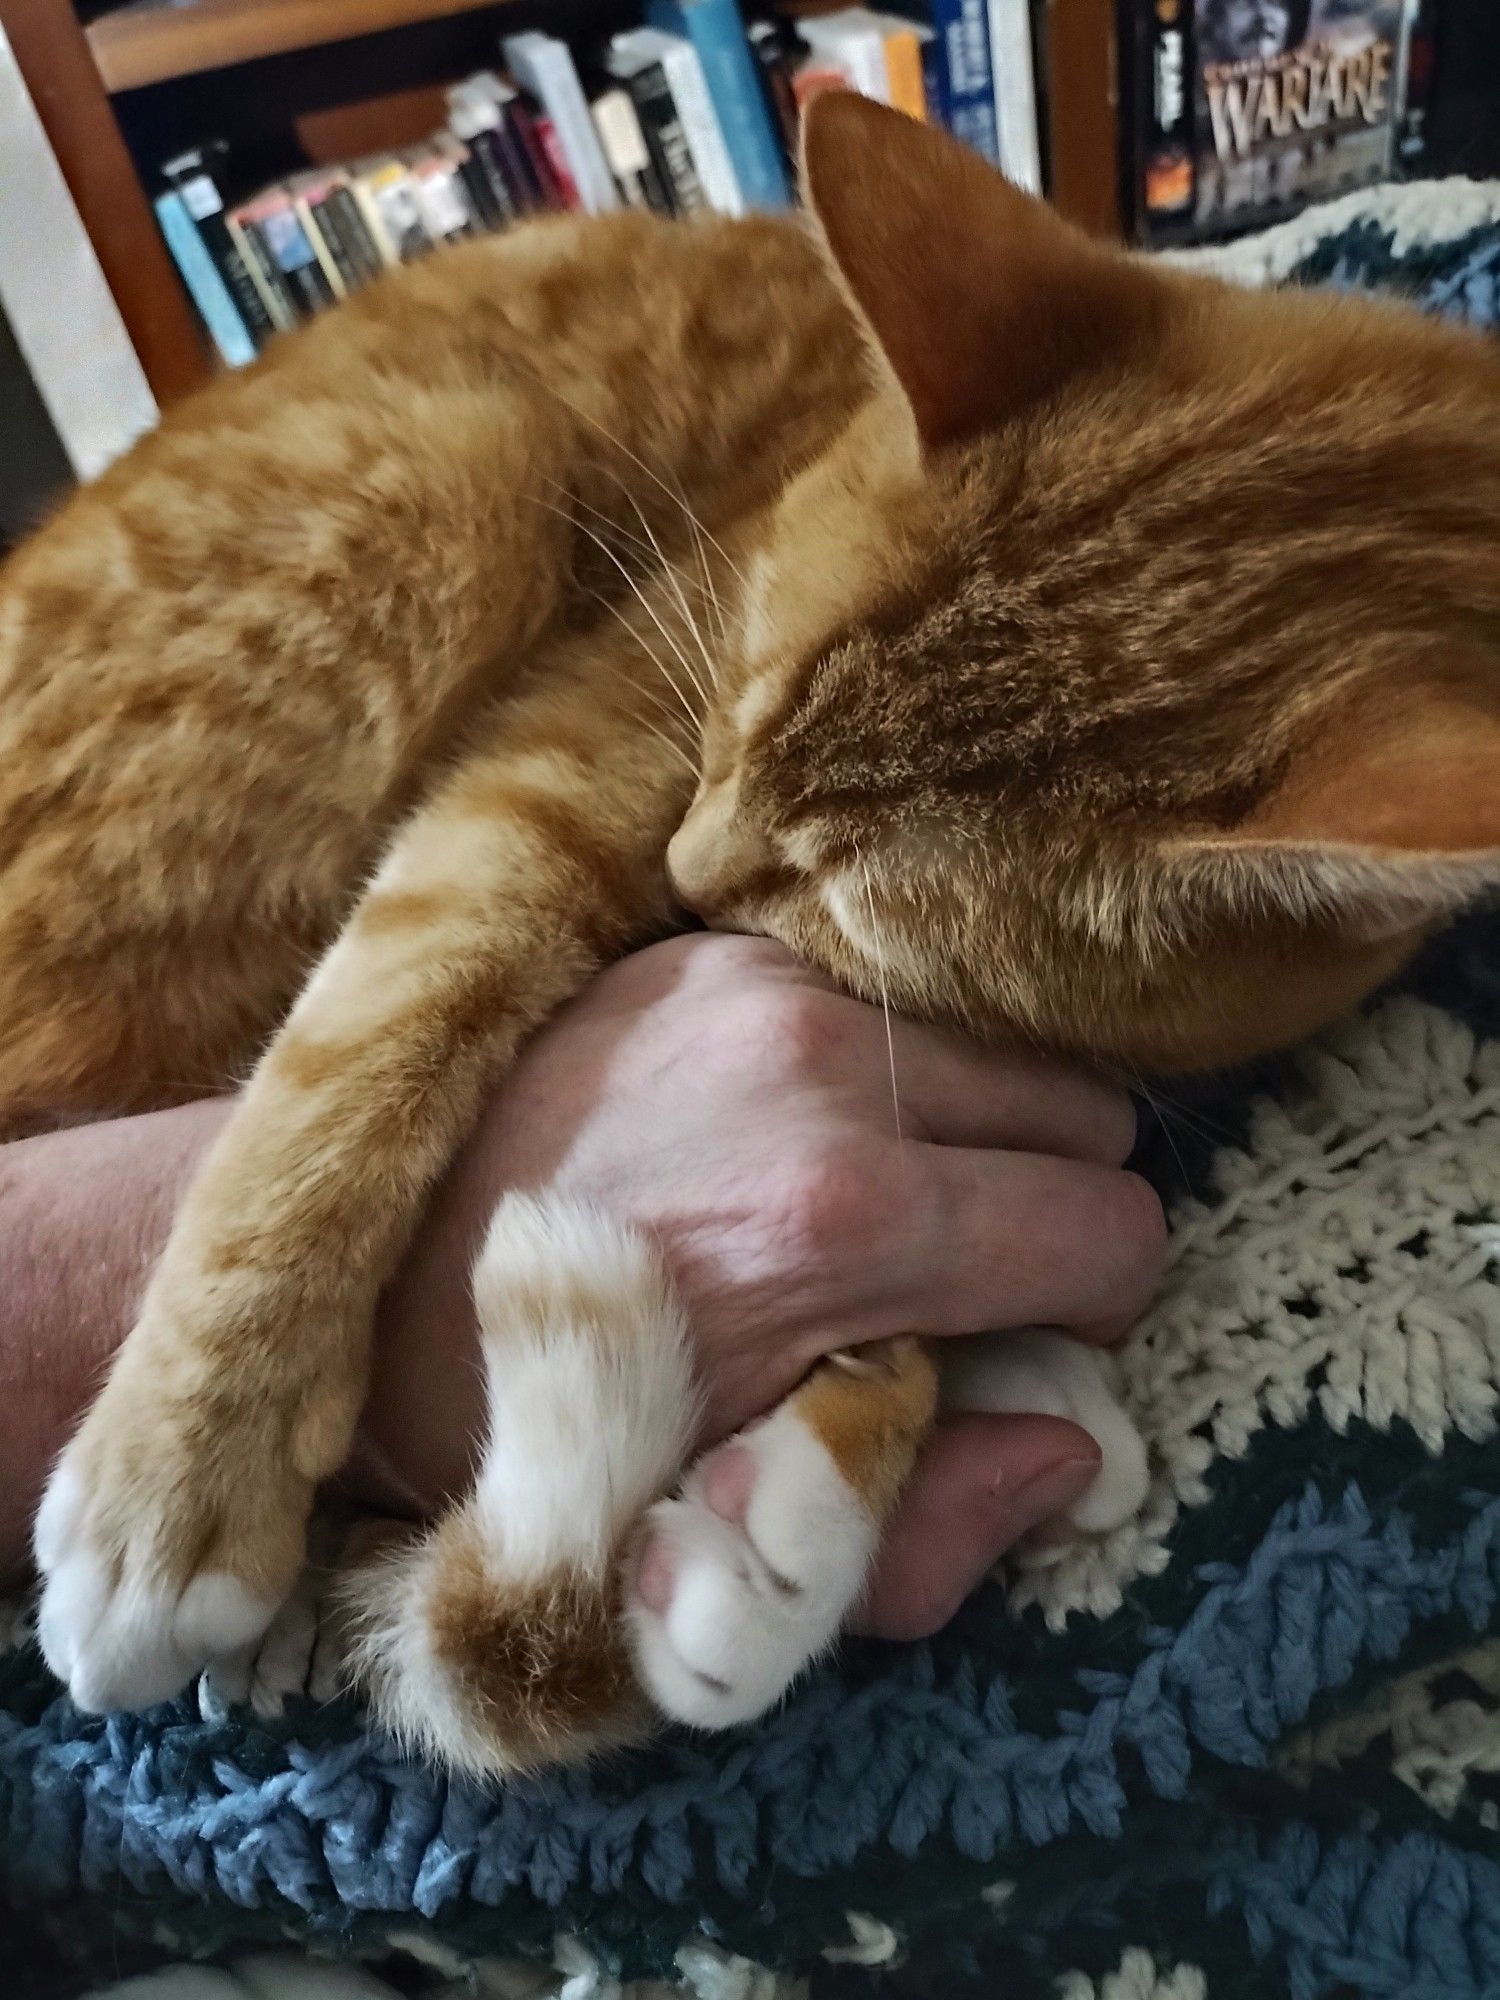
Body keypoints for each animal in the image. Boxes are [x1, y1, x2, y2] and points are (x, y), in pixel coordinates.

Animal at [8, 101, 1500, 1776]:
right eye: (737, 694)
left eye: (844, 905)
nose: (687, 869)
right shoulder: (571, 752)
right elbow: (359, 1050)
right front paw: (184, 1471)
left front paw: (823, 1491)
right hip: (452, 481)